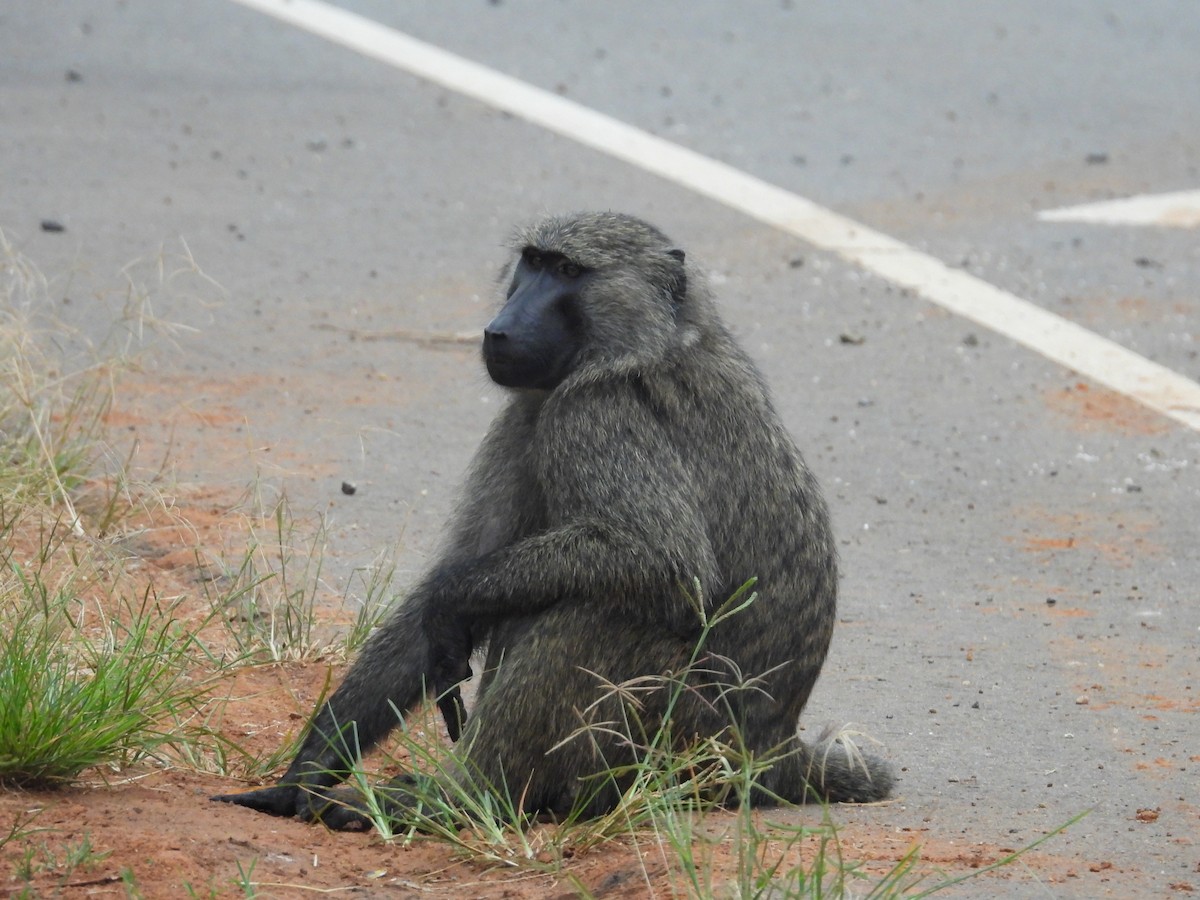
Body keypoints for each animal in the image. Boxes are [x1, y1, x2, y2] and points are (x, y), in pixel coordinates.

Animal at [213, 211, 893, 830]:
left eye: (569, 272)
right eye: (533, 262)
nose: (501, 329)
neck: (650, 341)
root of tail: (774, 756)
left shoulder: (592, 412)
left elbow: (665, 561)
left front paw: (451, 604)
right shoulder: (527, 415)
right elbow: (450, 581)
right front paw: (303, 773)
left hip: (682, 748)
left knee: (604, 607)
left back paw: (461, 799)